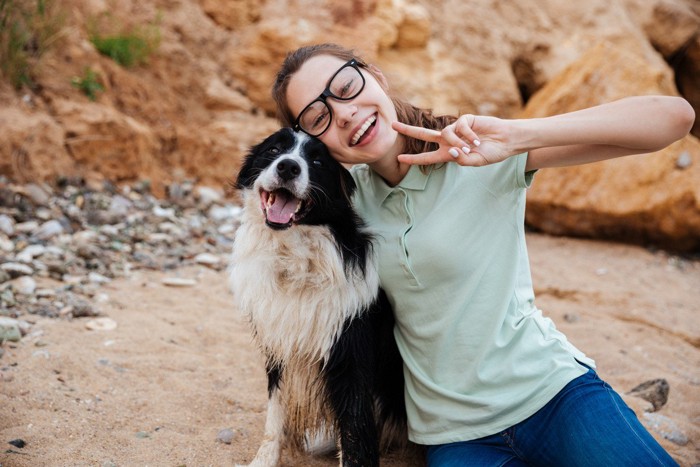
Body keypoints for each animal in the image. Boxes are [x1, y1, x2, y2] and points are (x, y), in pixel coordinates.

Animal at [227, 128, 408, 467]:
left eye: (317, 161)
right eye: (274, 150)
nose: (288, 167)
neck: (295, 259)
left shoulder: (350, 357)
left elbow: (354, 435)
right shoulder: (280, 343)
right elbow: (275, 413)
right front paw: (264, 459)